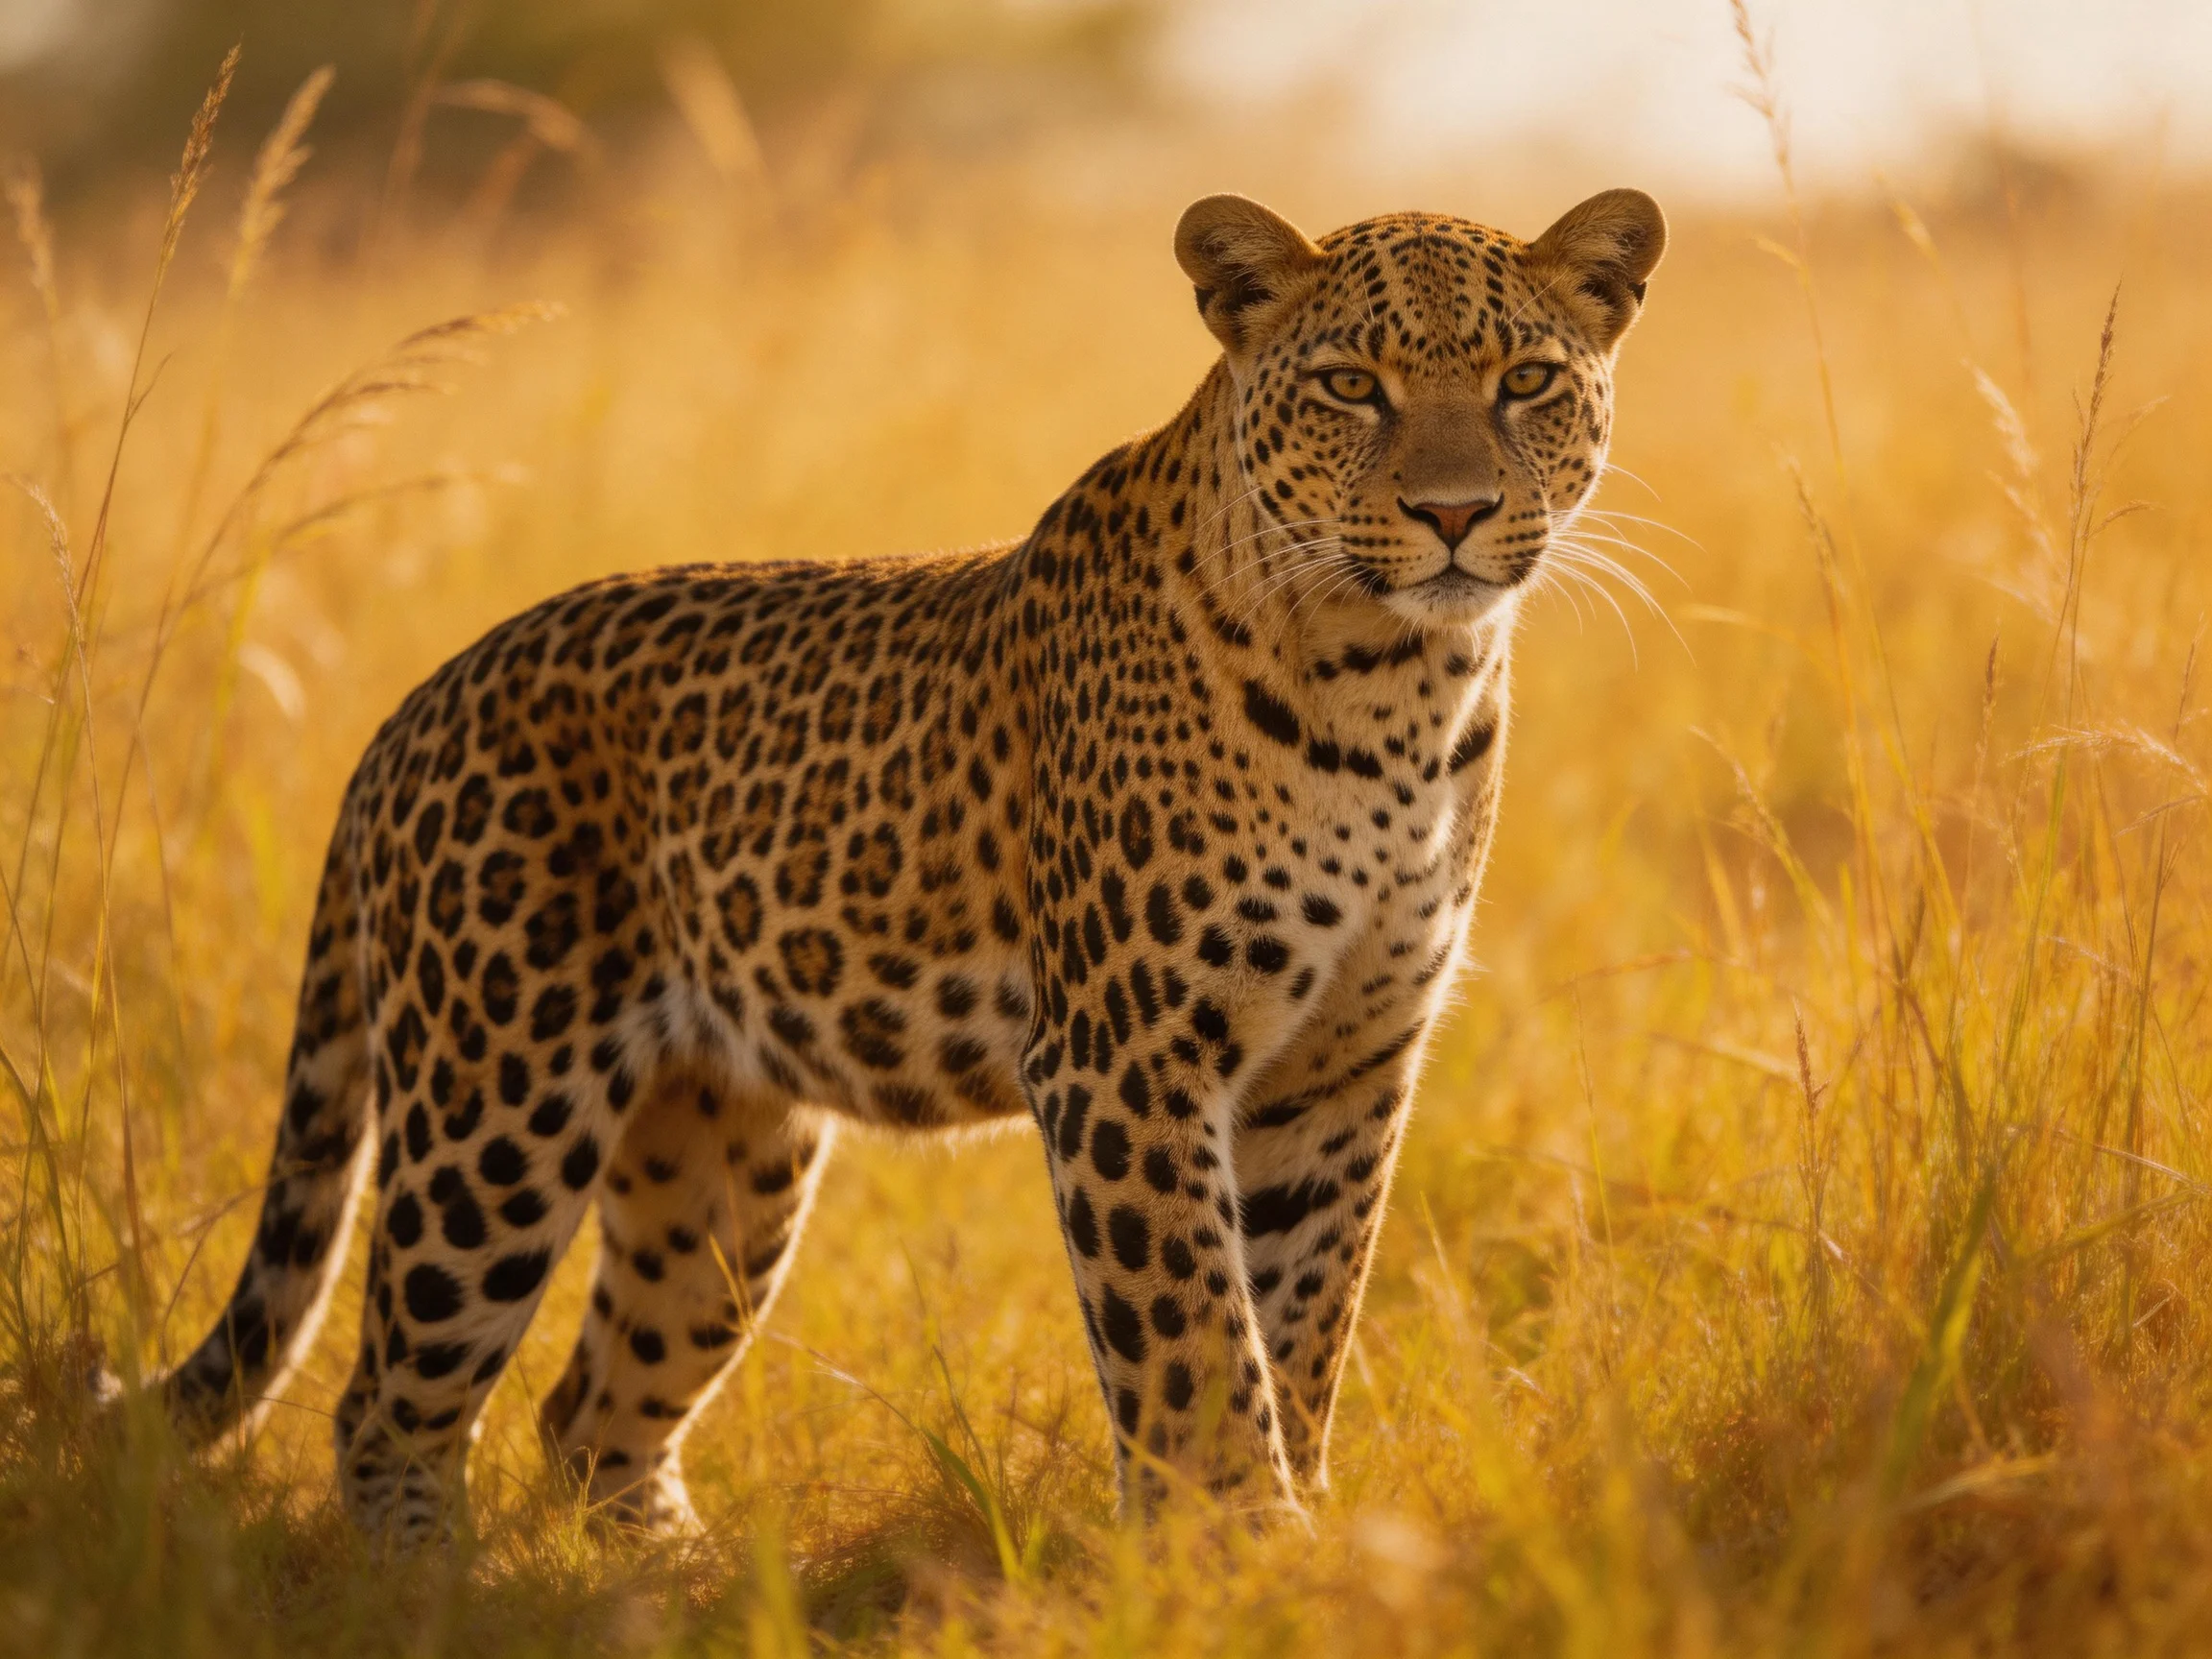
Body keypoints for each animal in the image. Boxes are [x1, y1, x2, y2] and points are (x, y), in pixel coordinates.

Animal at [137, 186, 1666, 1542]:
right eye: (1353, 385)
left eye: (1527, 379)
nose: (1454, 513)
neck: (1398, 685)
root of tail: (409, 709)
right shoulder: (1127, 1058)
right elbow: (1190, 1334)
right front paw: (1243, 1548)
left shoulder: (1346, 1065)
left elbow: (1302, 1323)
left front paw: (1303, 1531)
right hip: (495, 1105)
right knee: (389, 1402)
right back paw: (429, 1584)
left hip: (722, 1162)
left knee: (592, 1409)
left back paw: (670, 1575)